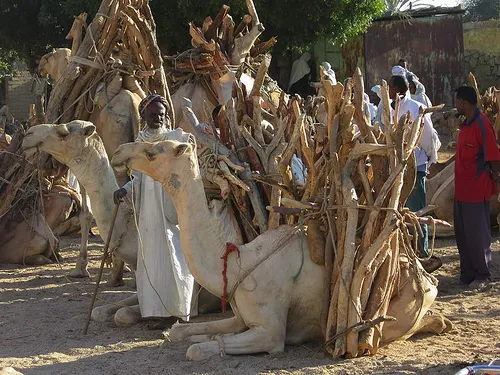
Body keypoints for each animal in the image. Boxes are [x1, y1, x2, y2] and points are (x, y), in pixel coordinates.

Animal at [110, 137, 454, 362]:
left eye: (153, 151)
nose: (119, 152)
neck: (240, 263)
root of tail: (425, 275)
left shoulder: (270, 331)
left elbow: (196, 349)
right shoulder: (240, 318)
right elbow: (181, 334)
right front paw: (187, 333)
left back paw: (438, 321)